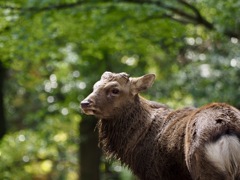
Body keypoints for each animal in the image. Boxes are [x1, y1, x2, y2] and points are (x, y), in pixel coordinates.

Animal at [80, 71, 240, 180]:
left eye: (115, 90)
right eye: (95, 86)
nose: (85, 103)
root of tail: (228, 128)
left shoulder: (153, 173)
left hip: (203, 168)